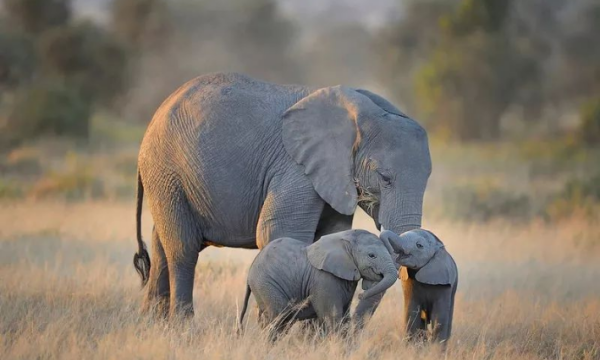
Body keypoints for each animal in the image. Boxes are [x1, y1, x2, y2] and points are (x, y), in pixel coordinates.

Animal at [134, 71, 432, 320]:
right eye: (384, 178)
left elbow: (330, 235)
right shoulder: (295, 167)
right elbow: (279, 232)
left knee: (161, 245)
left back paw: (153, 325)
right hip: (166, 171)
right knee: (183, 249)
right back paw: (183, 327)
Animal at [238, 229, 398, 338]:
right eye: (372, 255)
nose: (360, 295)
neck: (345, 239)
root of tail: (249, 274)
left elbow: (344, 316)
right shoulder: (324, 280)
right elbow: (332, 317)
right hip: (267, 284)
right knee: (278, 318)